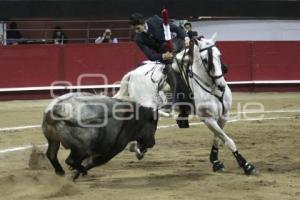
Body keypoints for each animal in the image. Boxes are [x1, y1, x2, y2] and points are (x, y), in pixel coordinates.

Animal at [115, 34, 255, 175]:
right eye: (205, 60)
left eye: (219, 55)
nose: (221, 85)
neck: (211, 86)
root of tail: (132, 73)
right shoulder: (207, 118)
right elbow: (228, 140)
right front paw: (246, 165)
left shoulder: (223, 115)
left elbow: (218, 138)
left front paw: (215, 161)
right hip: (147, 107)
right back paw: (137, 147)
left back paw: (138, 148)